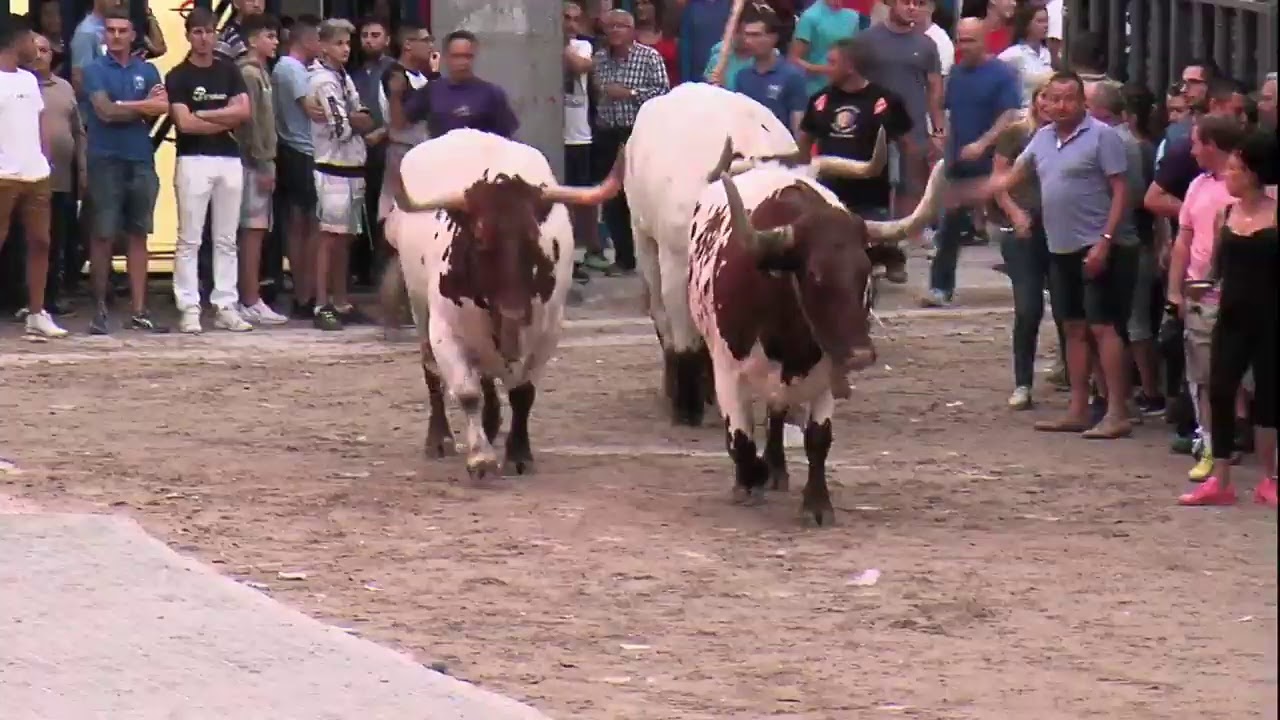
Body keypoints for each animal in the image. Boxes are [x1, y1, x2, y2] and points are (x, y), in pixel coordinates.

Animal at [378, 130, 619, 476]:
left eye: (533, 238)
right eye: (480, 239)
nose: (513, 312)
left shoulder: (547, 333)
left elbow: (522, 394)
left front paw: (518, 453)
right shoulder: (444, 331)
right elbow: (467, 393)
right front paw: (480, 456)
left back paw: (491, 426)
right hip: (419, 306)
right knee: (432, 372)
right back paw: (440, 438)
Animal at [691, 133, 952, 520]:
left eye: (865, 271)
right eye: (814, 274)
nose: (860, 355)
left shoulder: (828, 369)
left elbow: (817, 438)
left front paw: (816, 503)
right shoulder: (727, 370)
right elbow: (740, 437)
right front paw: (750, 478)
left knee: (777, 412)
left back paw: (777, 467)